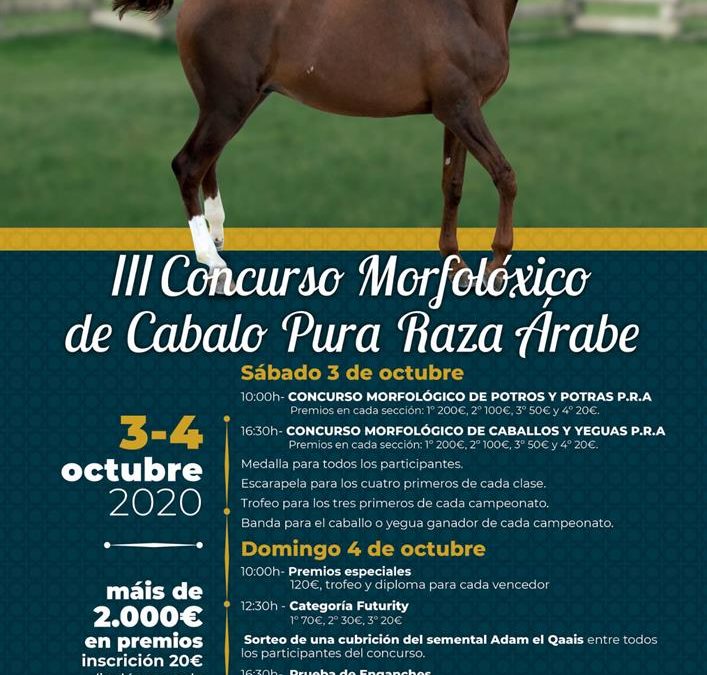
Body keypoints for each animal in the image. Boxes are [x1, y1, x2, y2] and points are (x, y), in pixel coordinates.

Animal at [114, 0, 519, 280]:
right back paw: (214, 266)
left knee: (206, 165)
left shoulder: (455, 113)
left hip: (227, 106)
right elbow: (505, 176)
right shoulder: (461, 110)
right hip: (228, 106)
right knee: (188, 165)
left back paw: (217, 242)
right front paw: (495, 266)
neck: (465, 10)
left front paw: (456, 266)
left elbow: (453, 185)